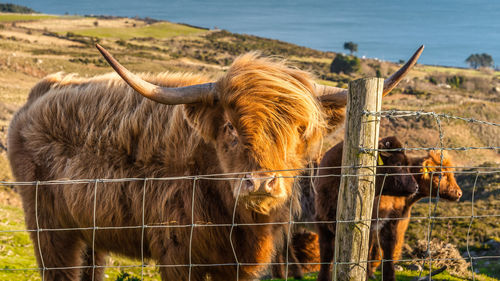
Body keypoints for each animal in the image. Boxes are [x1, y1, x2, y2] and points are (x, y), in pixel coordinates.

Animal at [314, 136, 420, 280]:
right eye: (398, 164)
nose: (416, 186)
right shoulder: (323, 224)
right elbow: (326, 255)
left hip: (391, 221)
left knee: (388, 246)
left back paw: (387, 276)